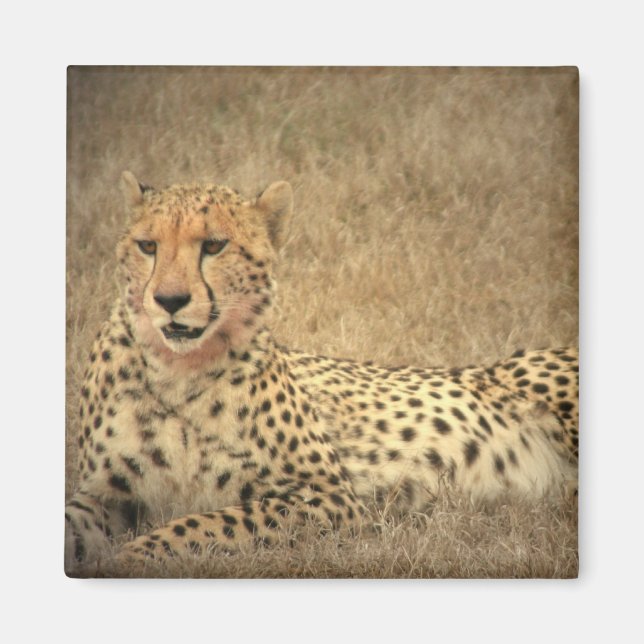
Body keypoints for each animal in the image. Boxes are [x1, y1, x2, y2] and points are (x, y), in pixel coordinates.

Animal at [64, 171, 578, 574]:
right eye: (147, 246)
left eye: (213, 245)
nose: (169, 300)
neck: (178, 370)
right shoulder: (105, 496)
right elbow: (73, 521)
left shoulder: (331, 498)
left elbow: (199, 524)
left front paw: (126, 559)